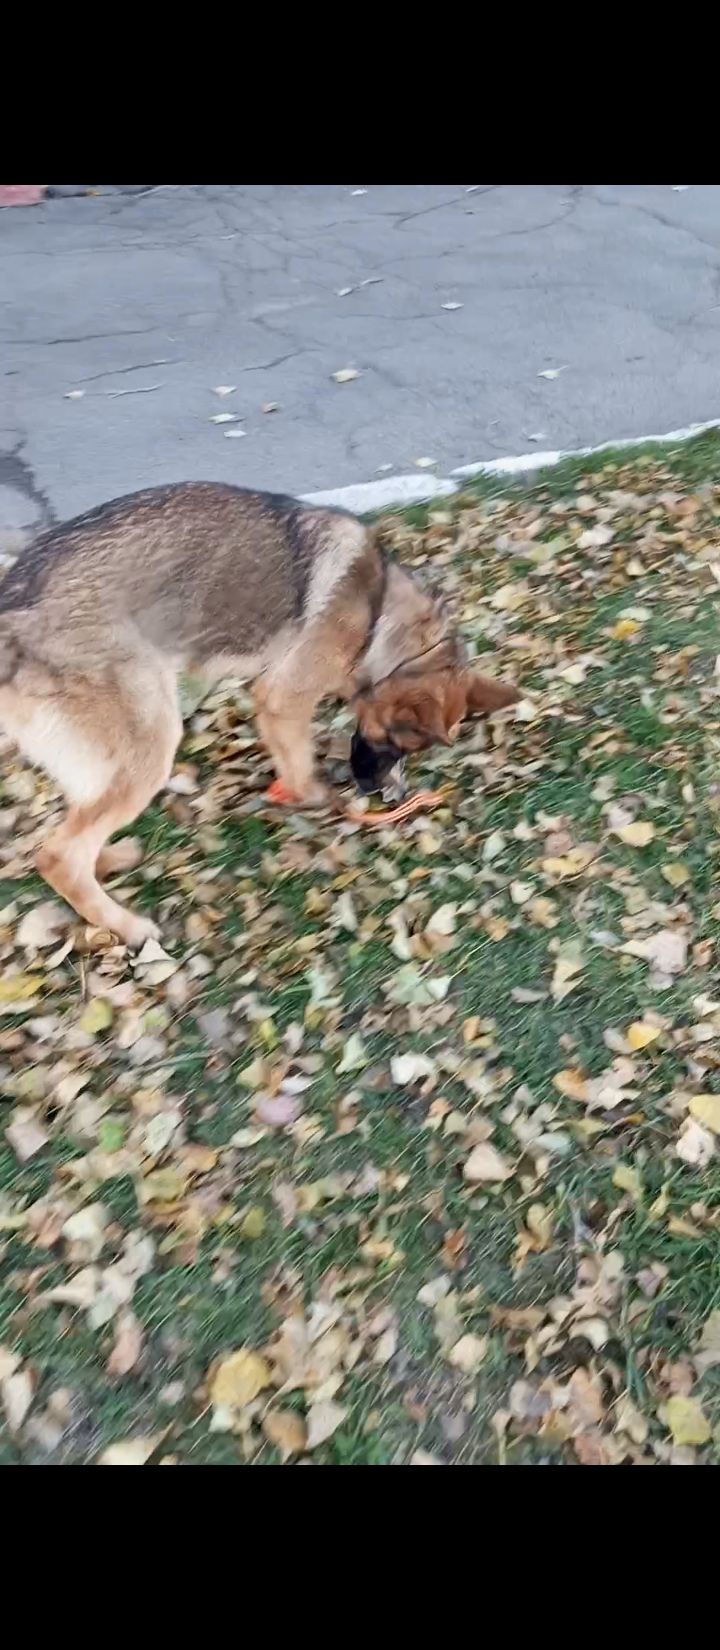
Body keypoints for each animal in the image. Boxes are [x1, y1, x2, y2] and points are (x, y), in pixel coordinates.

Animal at [0, 481, 518, 943]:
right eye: (393, 738)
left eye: (404, 747)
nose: (377, 792)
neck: (380, 619)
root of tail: (11, 618)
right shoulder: (283, 699)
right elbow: (301, 766)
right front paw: (317, 797)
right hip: (151, 744)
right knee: (59, 855)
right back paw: (128, 927)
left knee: (73, 833)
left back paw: (112, 859)